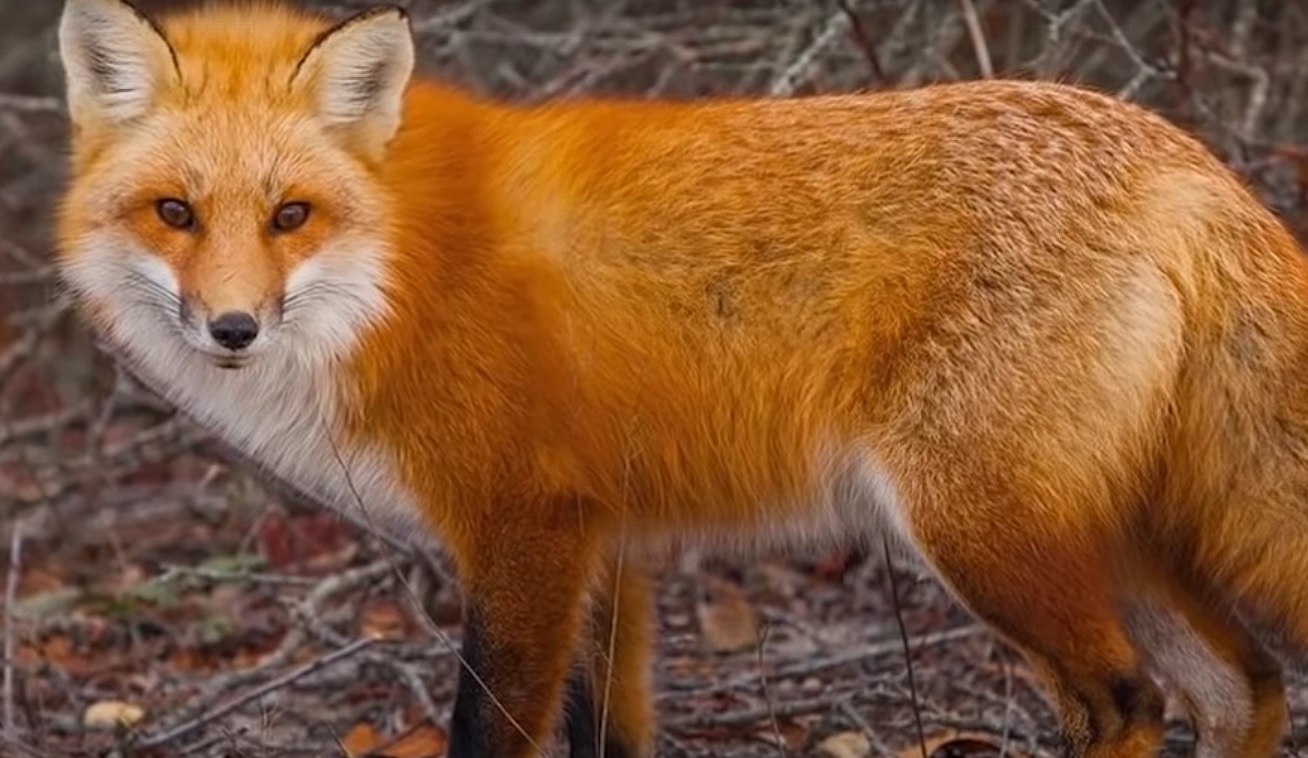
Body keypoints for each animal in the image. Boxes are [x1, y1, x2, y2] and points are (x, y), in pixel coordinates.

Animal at [48, 0, 1308, 752]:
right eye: (175, 213)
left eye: (291, 215)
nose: (231, 328)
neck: (400, 271)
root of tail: (1186, 155)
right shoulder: (607, 549)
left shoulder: (529, 525)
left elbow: (489, 730)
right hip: (1101, 531)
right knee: (1243, 681)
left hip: (983, 531)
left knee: (1130, 696)